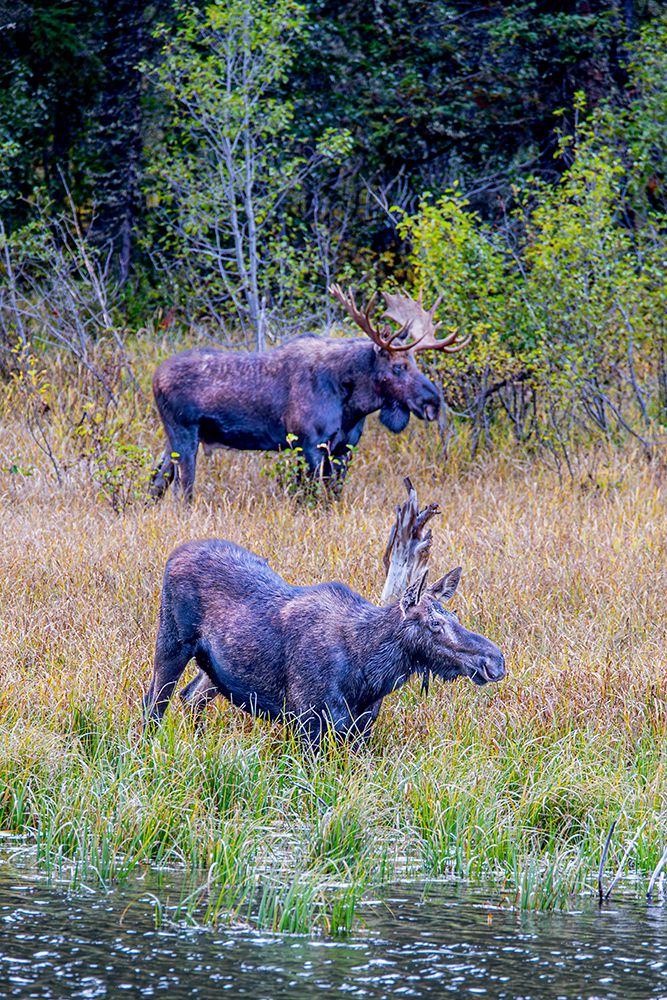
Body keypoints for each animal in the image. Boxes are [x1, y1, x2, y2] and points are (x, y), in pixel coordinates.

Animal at [149, 286, 469, 501]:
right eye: (399, 366)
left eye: (415, 362)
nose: (432, 402)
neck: (351, 406)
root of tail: (155, 376)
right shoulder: (310, 444)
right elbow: (313, 497)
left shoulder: (343, 448)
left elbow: (333, 496)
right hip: (184, 434)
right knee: (182, 491)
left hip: (172, 439)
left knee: (157, 480)